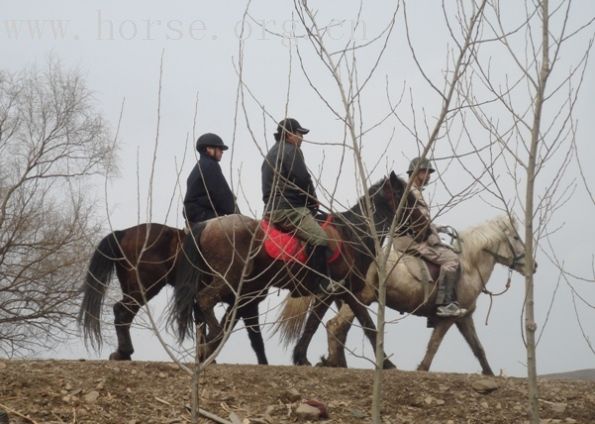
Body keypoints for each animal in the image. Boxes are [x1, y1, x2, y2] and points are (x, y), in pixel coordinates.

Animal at [78, 222, 268, 364]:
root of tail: (123, 233)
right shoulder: (246, 302)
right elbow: (254, 337)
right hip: (144, 288)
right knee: (122, 311)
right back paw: (124, 353)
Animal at [172, 171, 428, 366]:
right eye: (407, 199)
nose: (426, 229)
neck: (353, 233)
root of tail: (206, 225)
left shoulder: (342, 293)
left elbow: (359, 324)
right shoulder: (334, 291)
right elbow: (322, 324)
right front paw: (302, 358)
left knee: (203, 310)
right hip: (227, 279)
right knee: (204, 301)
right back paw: (213, 337)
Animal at [318, 215, 532, 374]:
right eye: (516, 238)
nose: (534, 265)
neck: (469, 268)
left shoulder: (464, 317)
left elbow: (478, 349)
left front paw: (489, 374)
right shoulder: (448, 318)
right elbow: (434, 344)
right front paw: (421, 369)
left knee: (341, 328)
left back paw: (335, 362)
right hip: (361, 298)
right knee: (335, 325)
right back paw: (335, 363)